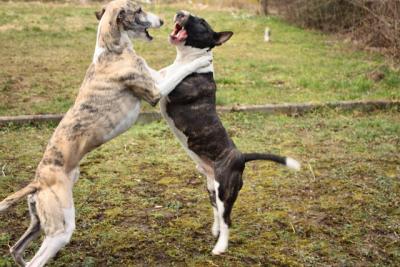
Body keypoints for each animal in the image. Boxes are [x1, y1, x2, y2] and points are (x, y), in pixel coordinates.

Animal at [0, 1, 211, 266]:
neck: (111, 50)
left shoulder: (155, 77)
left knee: (16, 250)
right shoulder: (155, 90)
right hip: (61, 229)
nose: (163, 20)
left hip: (39, 223)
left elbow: (175, 67)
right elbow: (182, 69)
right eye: (139, 9)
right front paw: (202, 60)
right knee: (36, 260)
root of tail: (37, 182)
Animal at [157, 11, 300, 256]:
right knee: (216, 210)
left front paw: (200, 61)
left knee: (227, 220)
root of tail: (241, 156)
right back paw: (214, 230)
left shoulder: (165, 88)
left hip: (226, 190)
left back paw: (220, 247)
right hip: (212, 187)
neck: (184, 58)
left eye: (202, 22)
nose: (180, 13)